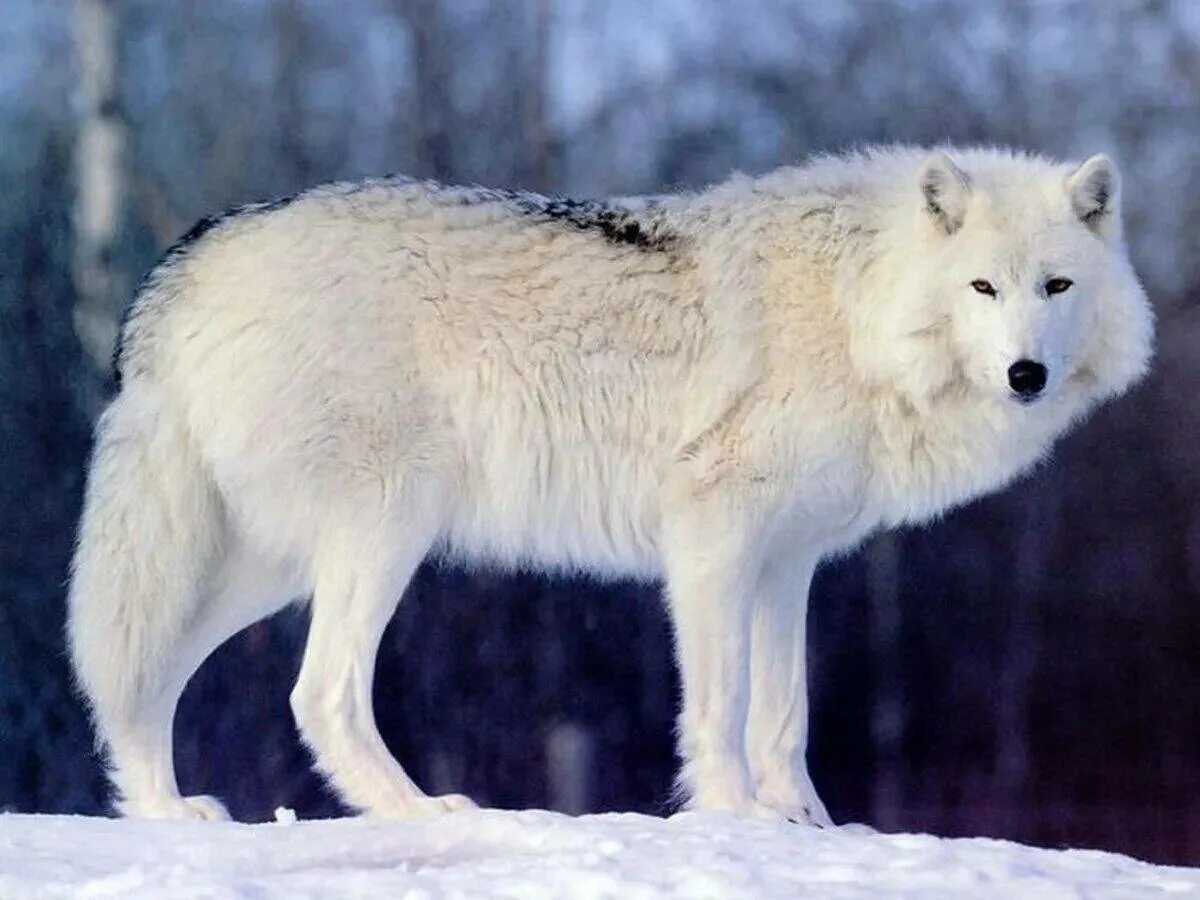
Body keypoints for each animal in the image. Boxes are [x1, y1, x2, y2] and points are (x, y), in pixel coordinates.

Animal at [68, 146, 1152, 823]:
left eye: (1056, 286)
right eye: (983, 287)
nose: (1027, 374)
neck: (859, 310)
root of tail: (189, 261)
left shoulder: (788, 560)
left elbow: (785, 719)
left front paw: (810, 828)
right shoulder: (713, 538)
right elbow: (722, 709)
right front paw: (734, 820)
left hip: (266, 568)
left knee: (140, 675)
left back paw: (166, 813)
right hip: (381, 532)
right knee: (320, 694)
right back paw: (424, 812)